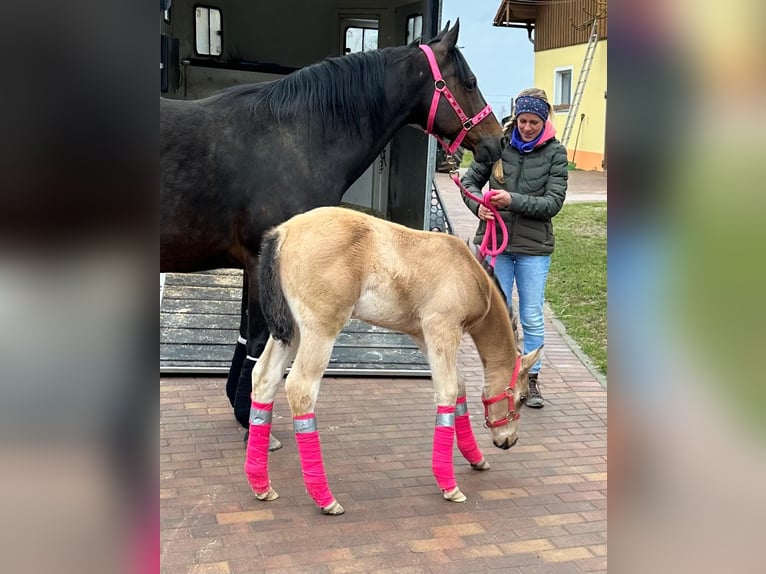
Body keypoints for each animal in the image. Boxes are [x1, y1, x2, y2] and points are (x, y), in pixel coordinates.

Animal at [160, 21, 504, 440]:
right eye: (469, 82)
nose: (497, 142)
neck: (290, 138)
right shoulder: (260, 264)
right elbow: (259, 340)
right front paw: (250, 419)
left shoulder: (255, 267)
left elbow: (246, 337)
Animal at [244, 206, 542, 515]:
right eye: (521, 397)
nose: (509, 441)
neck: (468, 272)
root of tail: (283, 232)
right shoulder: (442, 328)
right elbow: (447, 391)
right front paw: (449, 486)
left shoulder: (423, 335)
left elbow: (458, 385)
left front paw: (476, 458)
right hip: (320, 328)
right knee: (301, 389)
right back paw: (325, 499)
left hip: (291, 330)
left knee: (264, 378)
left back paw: (262, 487)